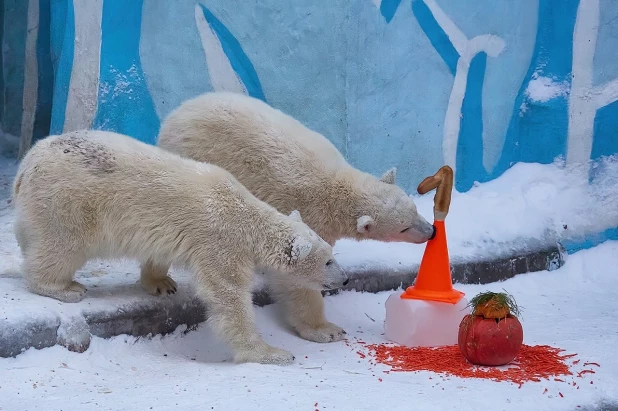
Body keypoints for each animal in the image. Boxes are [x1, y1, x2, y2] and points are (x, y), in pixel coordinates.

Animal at [13, 130, 346, 366]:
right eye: (329, 261)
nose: (344, 279)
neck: (245, 212)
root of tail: (27, 163)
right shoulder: (220, 241)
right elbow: (228, 296)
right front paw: (270, 353)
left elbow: (158, 253)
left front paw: (161, 284)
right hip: (68, 200)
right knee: (62, 245)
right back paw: (64, 287)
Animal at [156, 90, 436, 344]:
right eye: (404, 228)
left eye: (415, 211)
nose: (431, 231)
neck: (338, 187)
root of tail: (177, 113)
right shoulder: (307, 211)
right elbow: (298, 275)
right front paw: (326, 330)